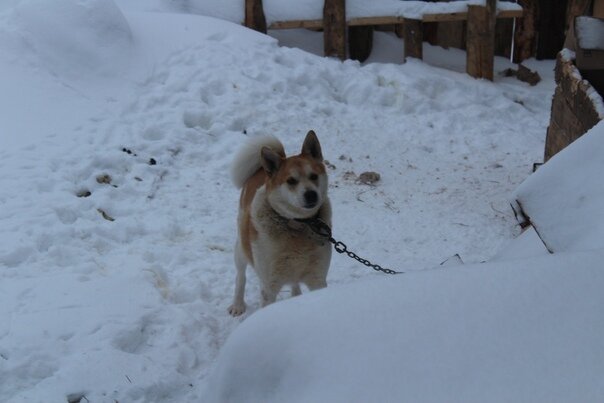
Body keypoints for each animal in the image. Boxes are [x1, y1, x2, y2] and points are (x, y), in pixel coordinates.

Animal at [228, 131, 332, 318]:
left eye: (314, 176)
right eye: (291, 181)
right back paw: (238, 304)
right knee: (240, 277)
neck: (298, 225)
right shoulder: (269, 287)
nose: (311, 194)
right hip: (241, 247)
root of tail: (262, 169)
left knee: (294, 283)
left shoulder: (318, 279)